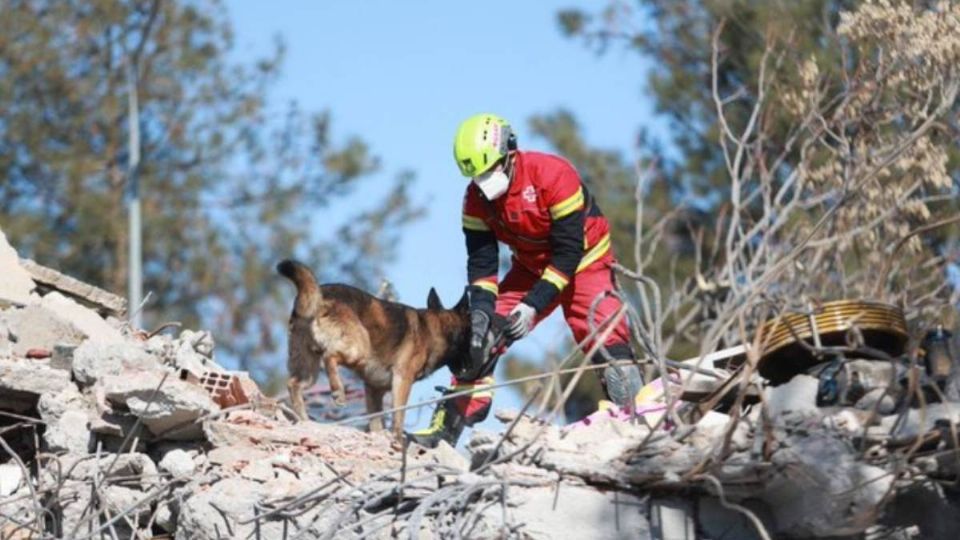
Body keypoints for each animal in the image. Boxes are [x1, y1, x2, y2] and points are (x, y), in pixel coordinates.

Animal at [276, 260, 470, 440]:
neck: (436, 328)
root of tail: (319, 294)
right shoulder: (402, 379)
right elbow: (399, 415)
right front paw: (398, 440)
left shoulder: (374, 389)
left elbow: (377, 421)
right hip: (359, 349)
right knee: (330, 356)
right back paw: (338, 392)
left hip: (309, 369)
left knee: (293, 384)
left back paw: (304, 420)